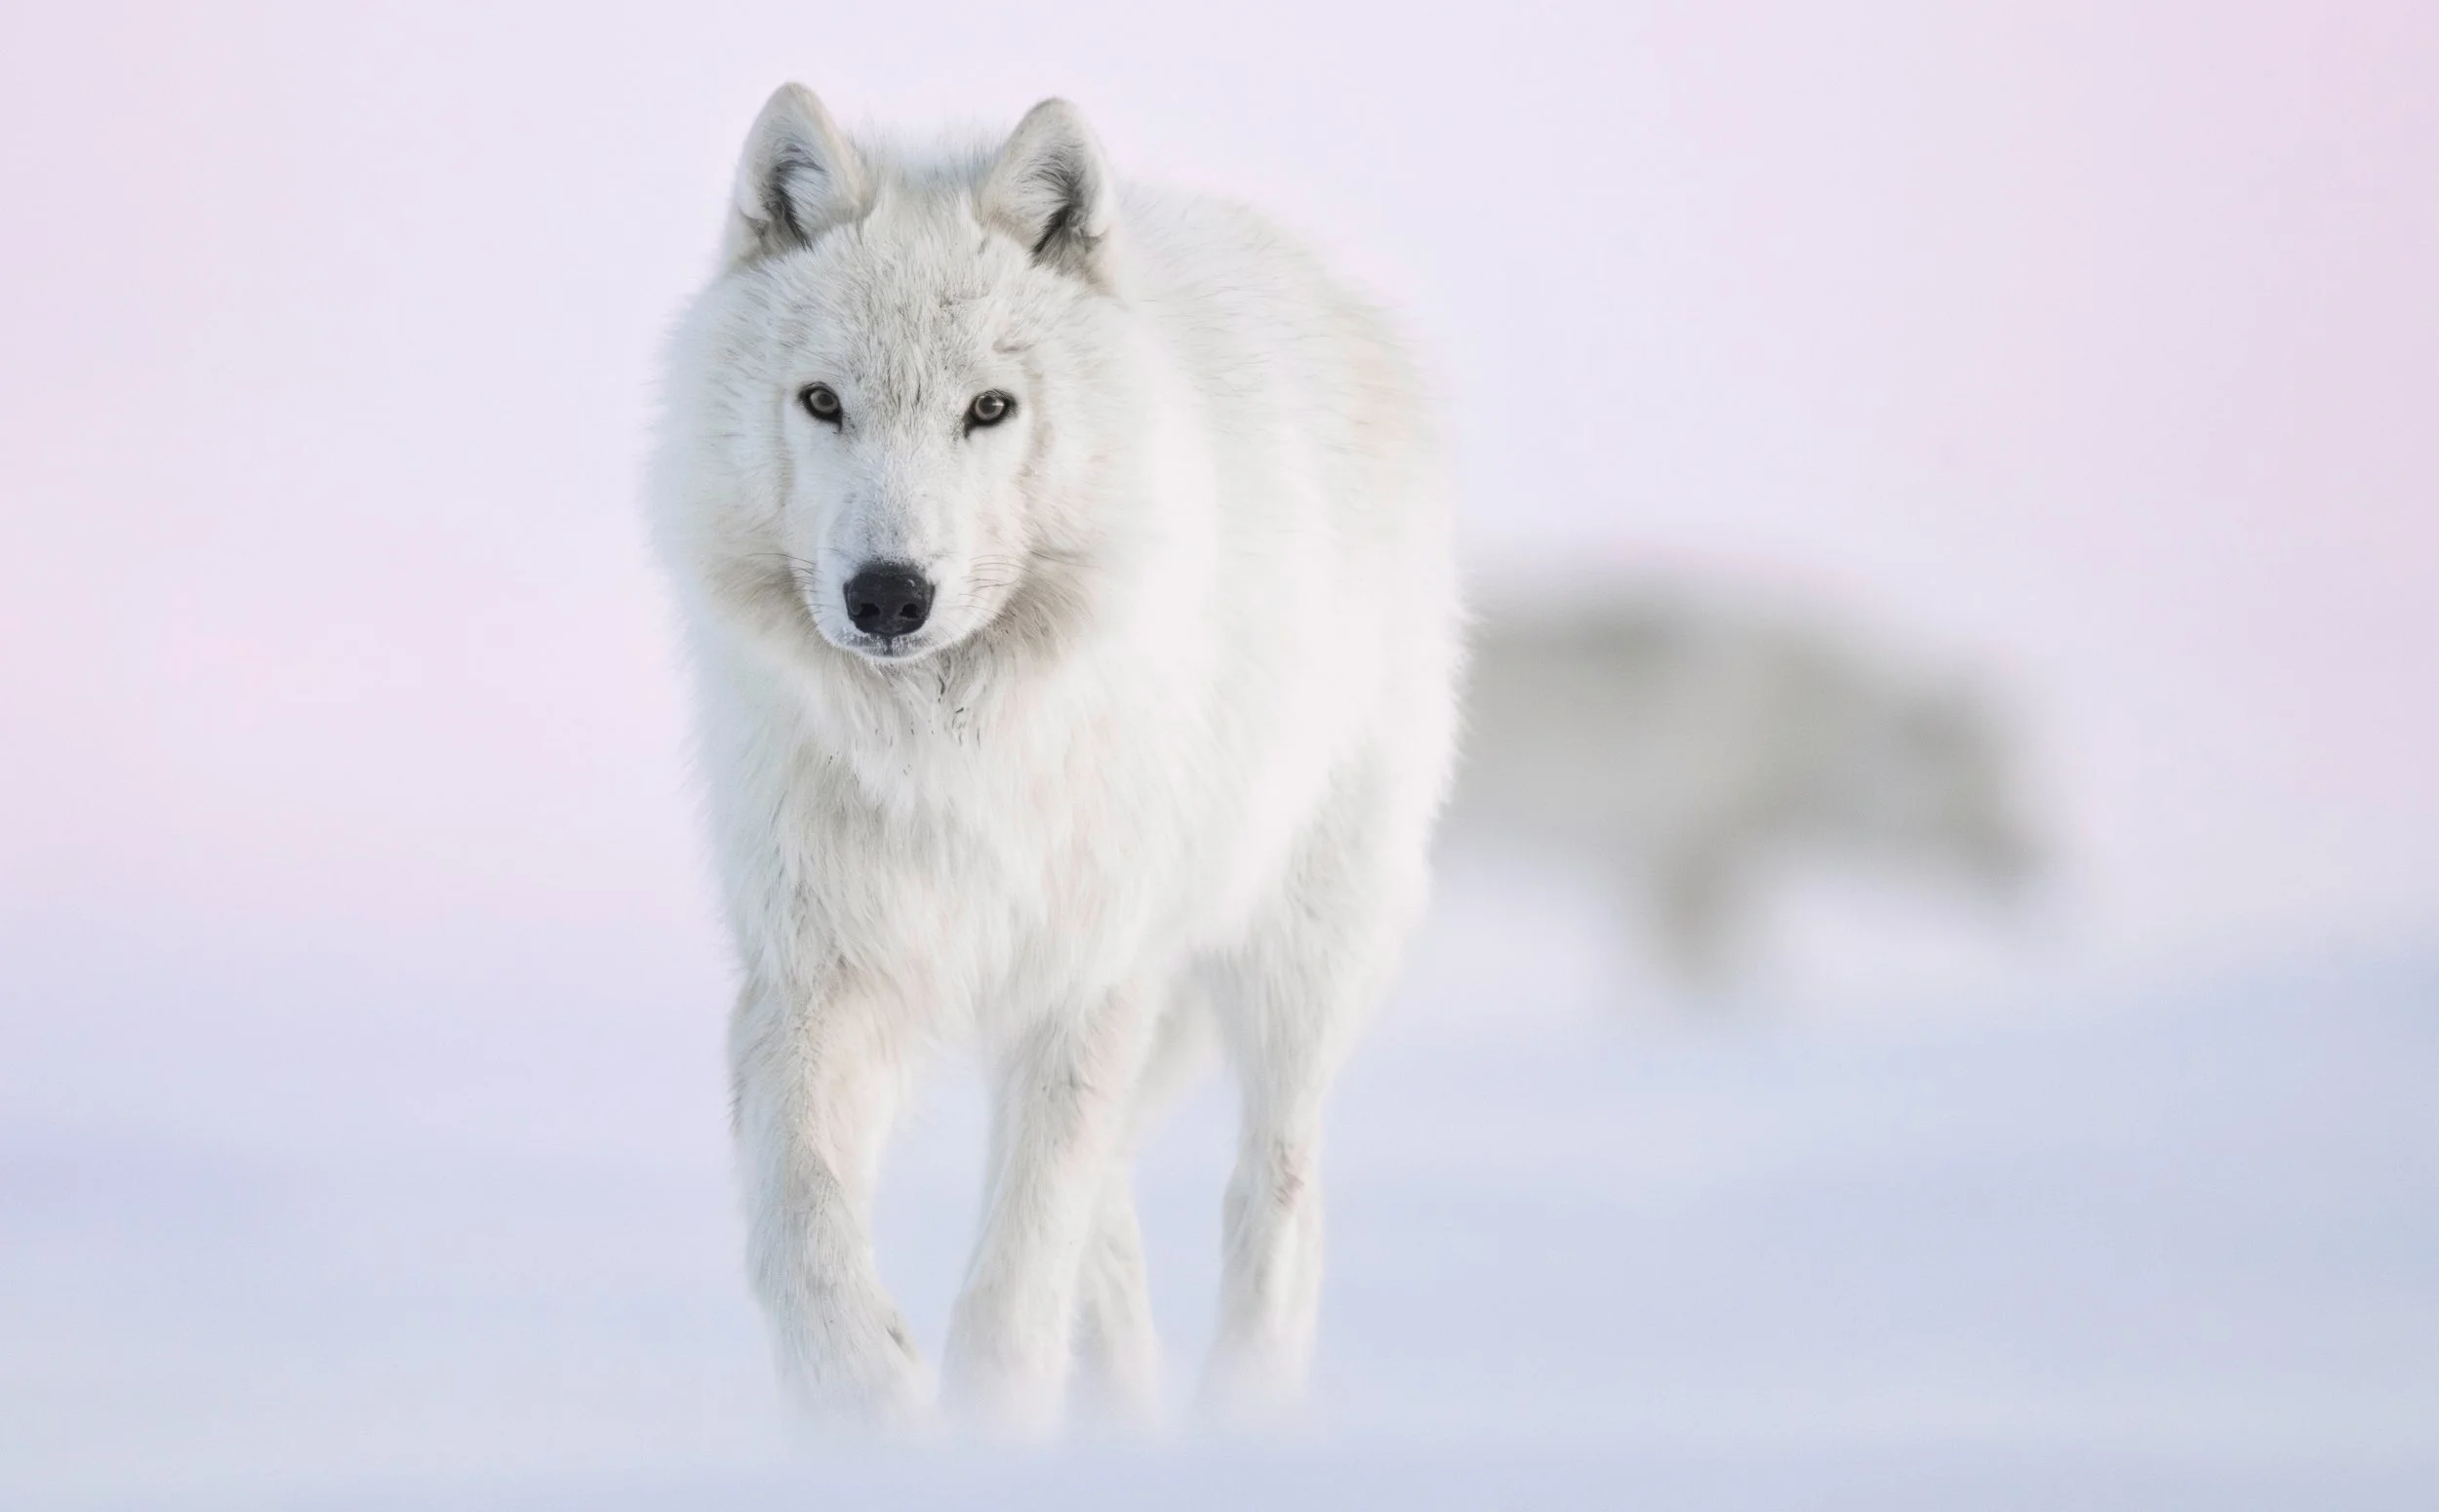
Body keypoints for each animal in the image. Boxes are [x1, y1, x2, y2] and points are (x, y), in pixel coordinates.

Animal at [648, 86, 1462, 1435]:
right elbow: (800, 1209)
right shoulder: (821, 969)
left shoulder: (1089, 973)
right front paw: (867, 1397)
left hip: (1299, 945)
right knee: (1114, 1204)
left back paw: (1240, 1415)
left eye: (989, 408)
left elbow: (1025, 1256)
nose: (888, 594)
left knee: (1273, 1189)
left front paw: (991, 1421)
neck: (950, 752)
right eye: (822, 402)